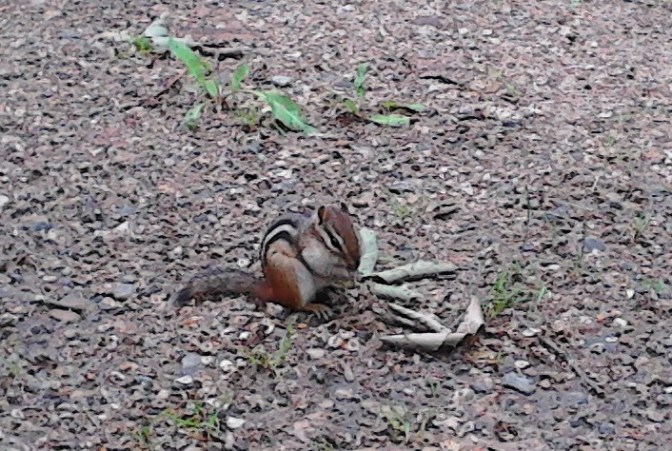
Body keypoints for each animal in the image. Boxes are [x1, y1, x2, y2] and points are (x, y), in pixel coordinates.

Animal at [174, 203, 362, 317]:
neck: (313, 235)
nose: (356, 264)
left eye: (355, 233)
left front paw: (354, 275)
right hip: (293, 274)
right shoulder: (310, 254)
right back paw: (315, 306)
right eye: (335, 241)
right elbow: (321, 268)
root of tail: (272, 288)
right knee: (296, 304)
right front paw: (345, 273)